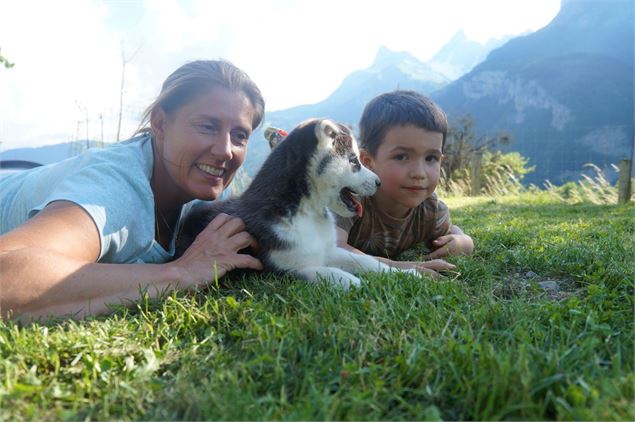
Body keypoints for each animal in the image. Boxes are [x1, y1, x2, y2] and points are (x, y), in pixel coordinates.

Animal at [176, 120, 420, 288]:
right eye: (353, 161)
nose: (379, 182)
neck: (308, 211)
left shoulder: (328, 250)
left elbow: (366, 261)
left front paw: (403, 273)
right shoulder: (282, 269)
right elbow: (328, 273)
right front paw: (357, 283)